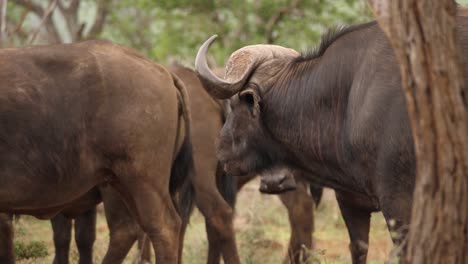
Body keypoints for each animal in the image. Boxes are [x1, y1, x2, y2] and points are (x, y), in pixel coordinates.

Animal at [194, 18, 468, 262]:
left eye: (235, 104)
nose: (220, 148)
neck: (346, 99)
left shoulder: (400, 205)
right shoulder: (351, 202)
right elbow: (358, 248)